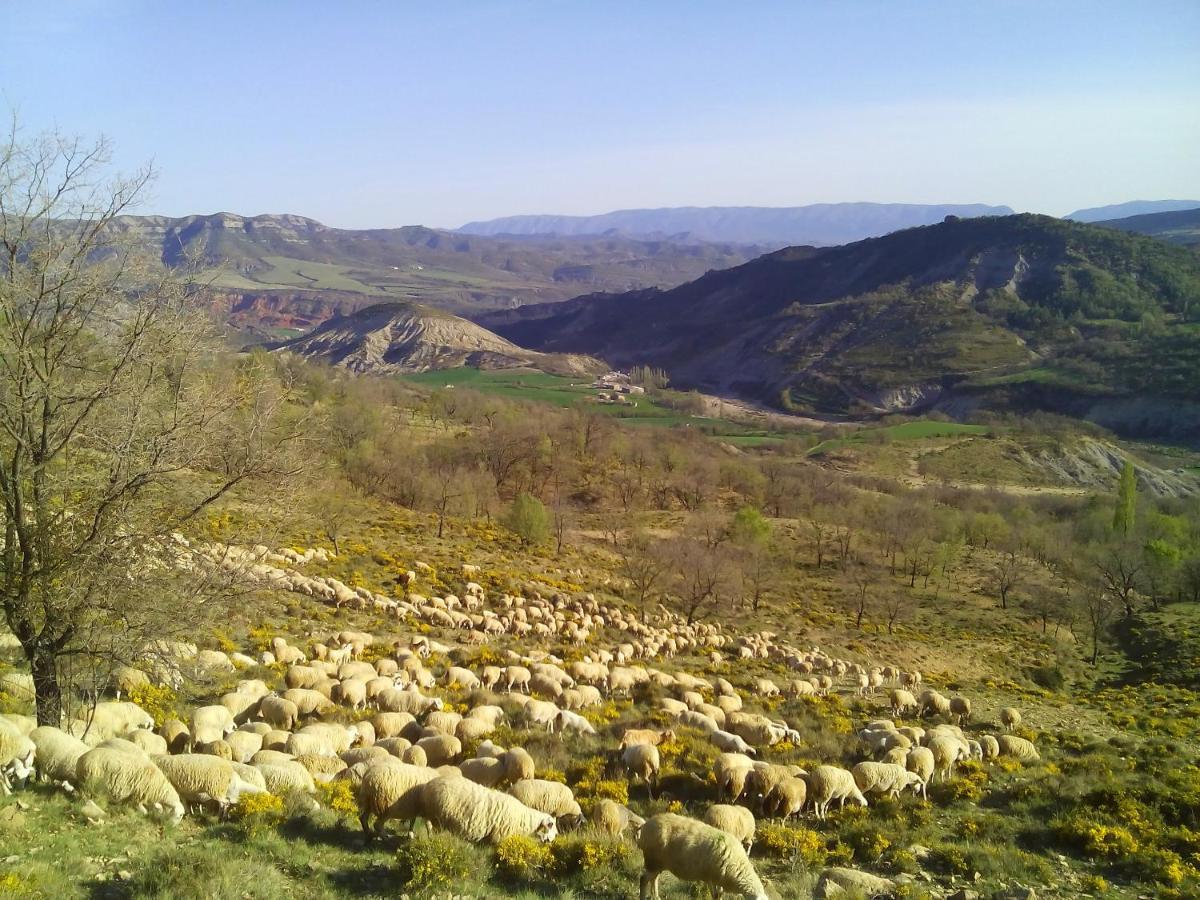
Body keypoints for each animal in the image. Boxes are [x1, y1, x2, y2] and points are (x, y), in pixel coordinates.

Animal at [417, 777, 556, 844]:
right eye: (551, 825)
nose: (551, 841)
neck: (524, 819)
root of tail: (428, 785)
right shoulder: (499, 836)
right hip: (433, 813)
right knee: (429, 826)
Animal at [638, 816, 768, 900]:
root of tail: (646, 824)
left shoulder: (717, 879)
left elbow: (718, 895)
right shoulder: (712, 877)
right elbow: (715, 895)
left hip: (659, 863)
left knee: (654, 879)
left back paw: (656, 897)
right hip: (652, 860)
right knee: (643, 879)